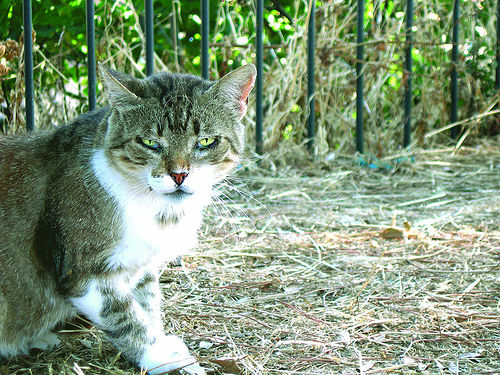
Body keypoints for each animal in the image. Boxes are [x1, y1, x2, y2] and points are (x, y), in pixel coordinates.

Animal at [0, 63, 256, 374]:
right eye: (149, 143)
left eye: (206, 141)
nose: (179, 175)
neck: (153, 208)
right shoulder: (81, 270)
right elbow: (123, 315)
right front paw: (160, 355)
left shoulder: (142, 264)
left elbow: (148, 303)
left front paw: (160, 339)